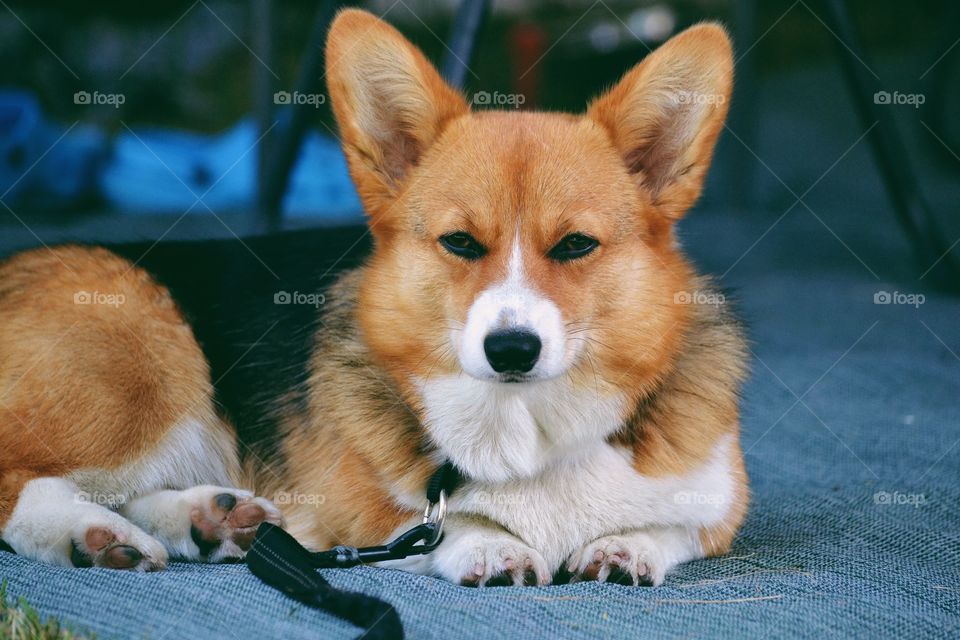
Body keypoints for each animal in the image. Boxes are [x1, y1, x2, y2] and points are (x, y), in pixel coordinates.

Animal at [0, 10, 744, 588]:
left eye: (575, 245)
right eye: (460, 243)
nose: (511, 350)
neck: (526, 427)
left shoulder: (718, 500)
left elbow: (677, 526)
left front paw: (627, 545)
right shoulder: (352, 509)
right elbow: (435, 524)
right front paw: (493, 544)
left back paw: (209, 520)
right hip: (150, 364)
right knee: (19, 479)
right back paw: (89, 535)